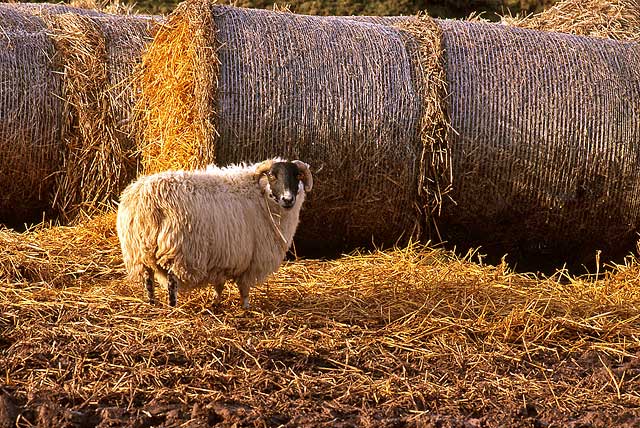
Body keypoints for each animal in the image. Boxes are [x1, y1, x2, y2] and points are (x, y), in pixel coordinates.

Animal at [117, 157, 316, 308]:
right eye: (273, 176)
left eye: (297, 175)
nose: (288, 199)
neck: (263, 196)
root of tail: (146, 200)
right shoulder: (250, 259)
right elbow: (244, 288)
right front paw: (246, 307)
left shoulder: (222, 258)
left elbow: (219, 285)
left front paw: (216, 302)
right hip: (178, 248)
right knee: (172, 280)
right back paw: (172, 305)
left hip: (138, 250)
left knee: (148, 278)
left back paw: (152, 303)